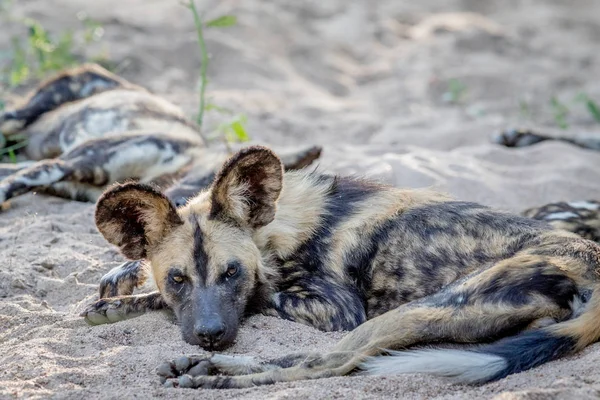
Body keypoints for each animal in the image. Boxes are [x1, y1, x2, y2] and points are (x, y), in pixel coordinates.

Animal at [89, 146, 600, 388]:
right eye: (178, 279)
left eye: (232, 273)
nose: (211, 334)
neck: (278, 232)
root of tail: (592, 264)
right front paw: (119, 297)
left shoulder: (335, 310)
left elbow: (261, 295)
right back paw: (202, 364)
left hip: (430, 306)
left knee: (326, 362)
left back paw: (211, 376)